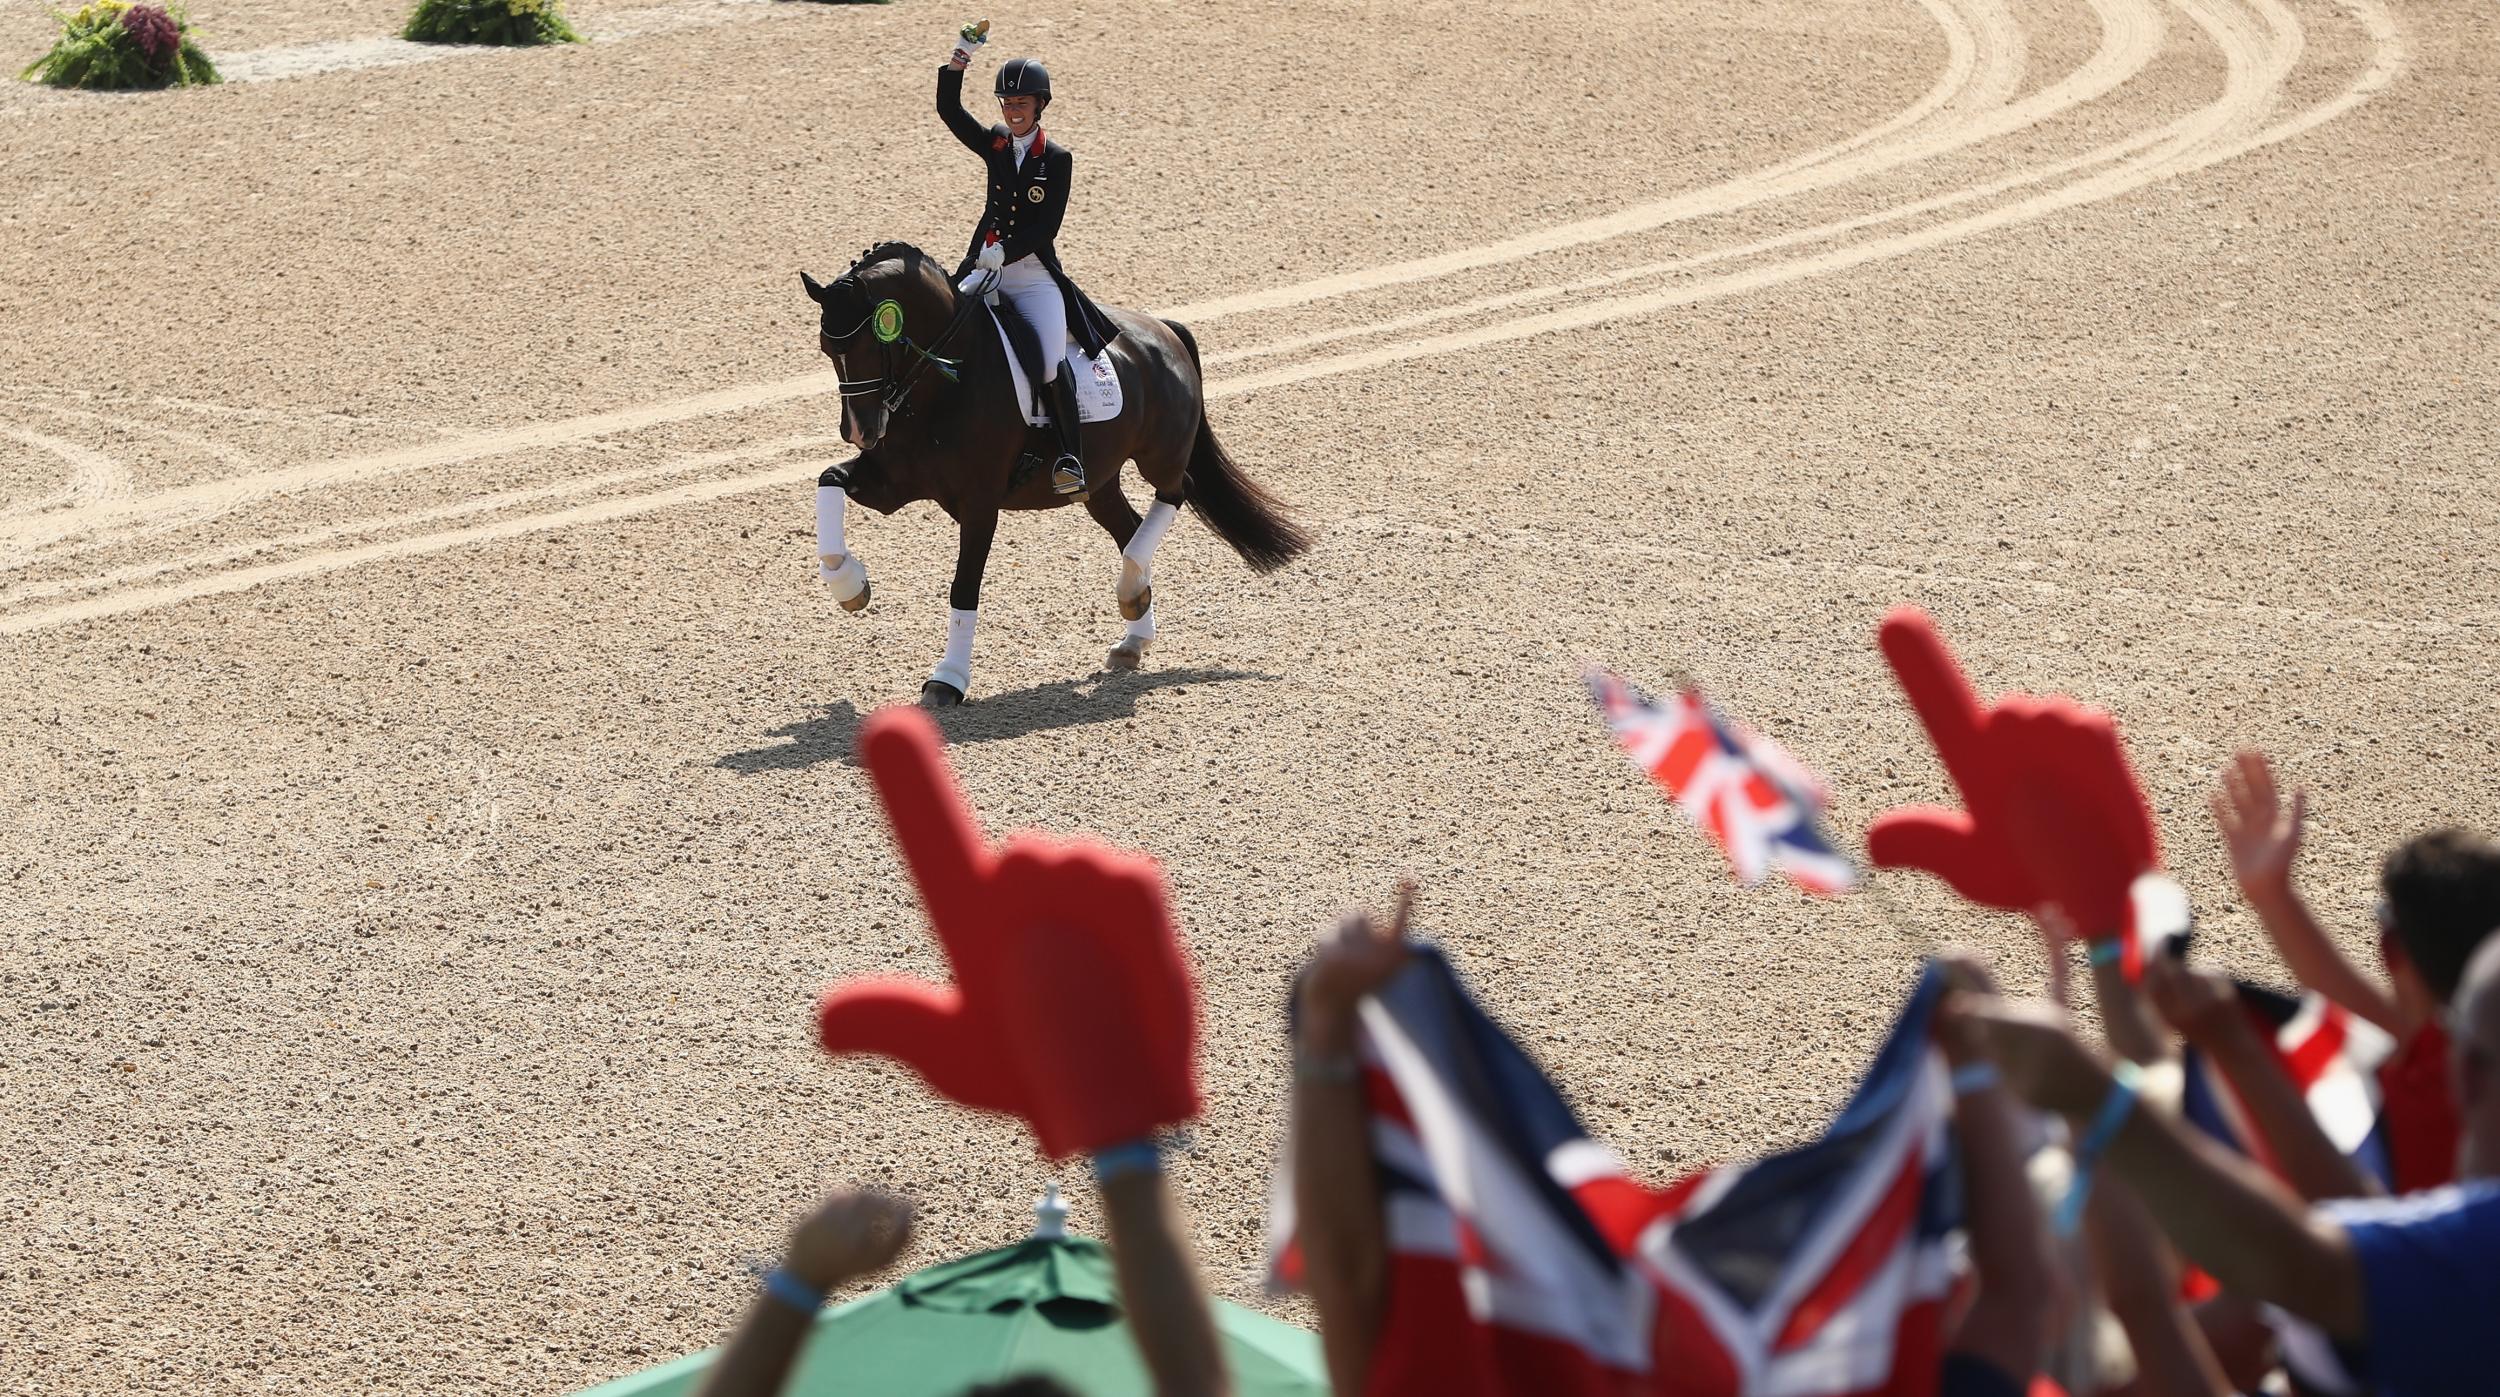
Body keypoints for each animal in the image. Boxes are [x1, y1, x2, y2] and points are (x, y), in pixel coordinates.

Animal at [805, 238, 1320, 709]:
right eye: (827, 348)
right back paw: (1134, 627)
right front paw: (849, 585)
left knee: (1176, 492)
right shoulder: (893, 483)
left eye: (871, 342)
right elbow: (829, 480)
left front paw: (947, 680)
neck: (948, 376)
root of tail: (1164, 329)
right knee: (1131, 529)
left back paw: (1132, 596)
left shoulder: (979, 504)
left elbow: (963, 587)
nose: (859, 430)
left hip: (1159, 455)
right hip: (1100, 482)